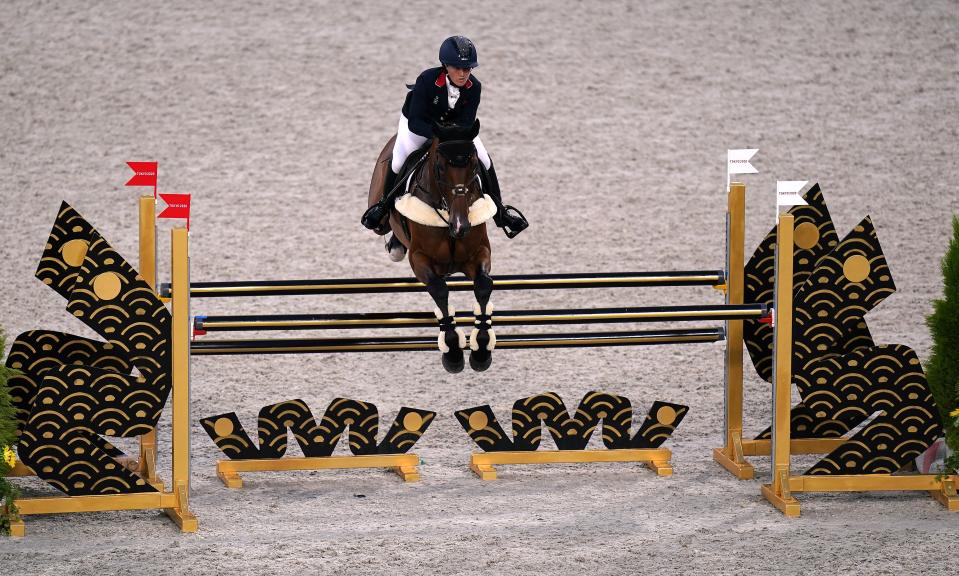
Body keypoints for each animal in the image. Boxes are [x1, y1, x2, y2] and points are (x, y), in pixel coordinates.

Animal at [370, 121, 498, 374]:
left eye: (474, 165)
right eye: (439, 168)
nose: (460, 226)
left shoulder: (479, 252)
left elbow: (483, 285)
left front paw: (481, 349)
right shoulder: (420, 259)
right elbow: (439, 289)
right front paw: (453, 351)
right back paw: (394, 244)